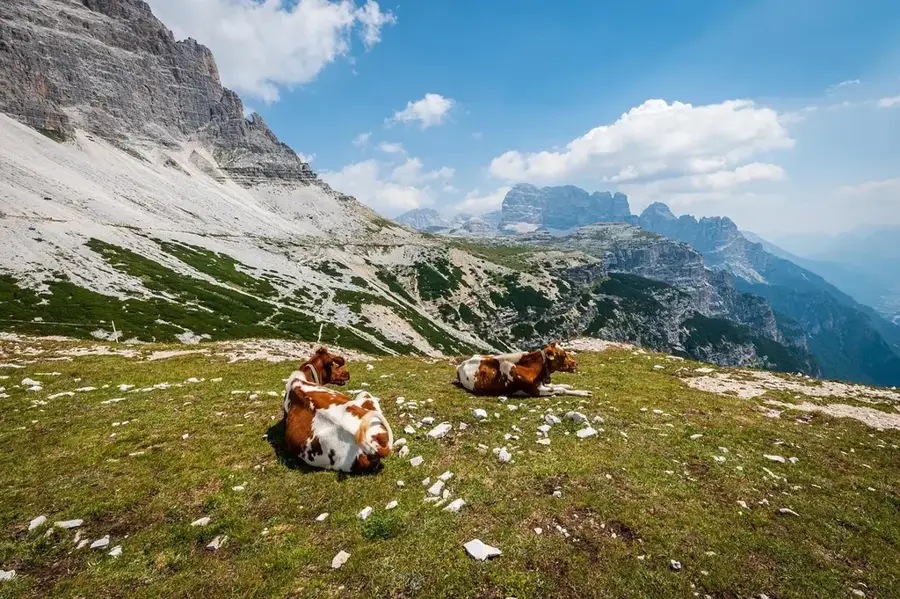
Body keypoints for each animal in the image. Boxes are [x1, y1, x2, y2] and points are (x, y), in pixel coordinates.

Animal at [453, 342, 592, 397]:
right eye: (563, 354)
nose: (576, 363)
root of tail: (461, 364)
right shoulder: (535, 390)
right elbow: (560, 390)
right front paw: (583, 393)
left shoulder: (540, 384)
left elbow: (557, 386)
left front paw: (571, 386)